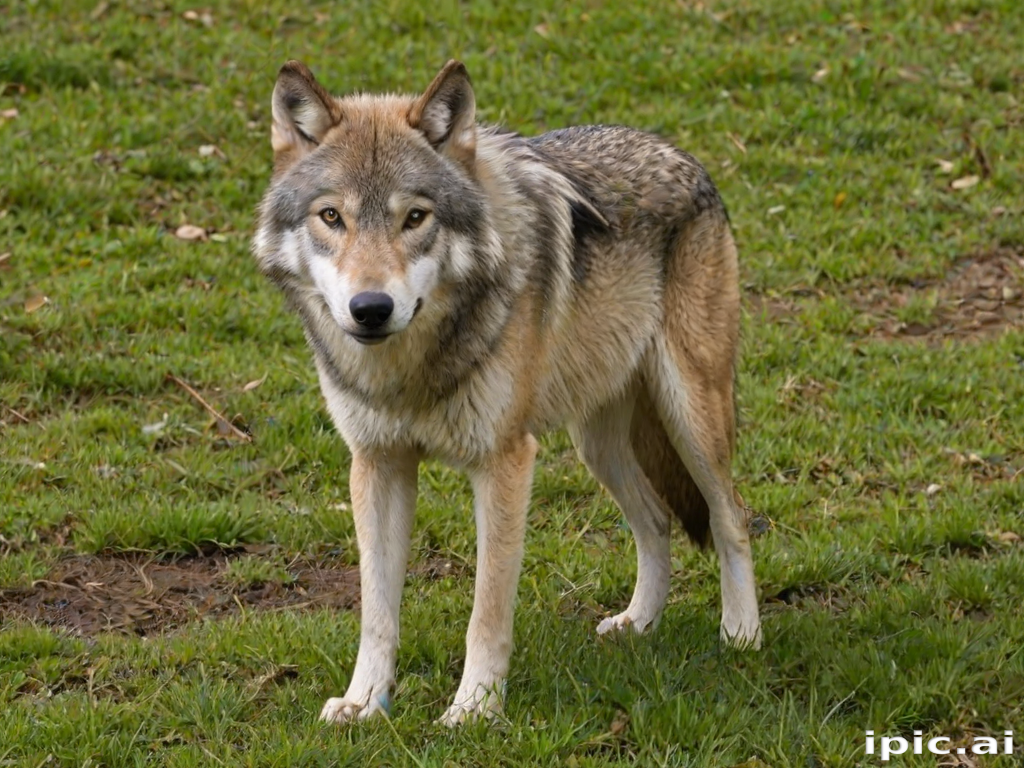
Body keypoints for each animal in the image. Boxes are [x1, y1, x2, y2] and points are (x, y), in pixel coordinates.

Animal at [252, 59, 762, 726]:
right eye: (332, 216)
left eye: (415, 217)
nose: (371, 308)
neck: (409, 371)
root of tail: (681, 154)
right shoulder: (377, 464)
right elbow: (377, 612)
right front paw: (365, 703)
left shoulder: (505, 462)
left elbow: (486, 611)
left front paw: (473, 711)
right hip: (596, 442)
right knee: (655, 520)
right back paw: (640, 624)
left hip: (691, 416)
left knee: (732, 515)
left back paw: (741, 634)